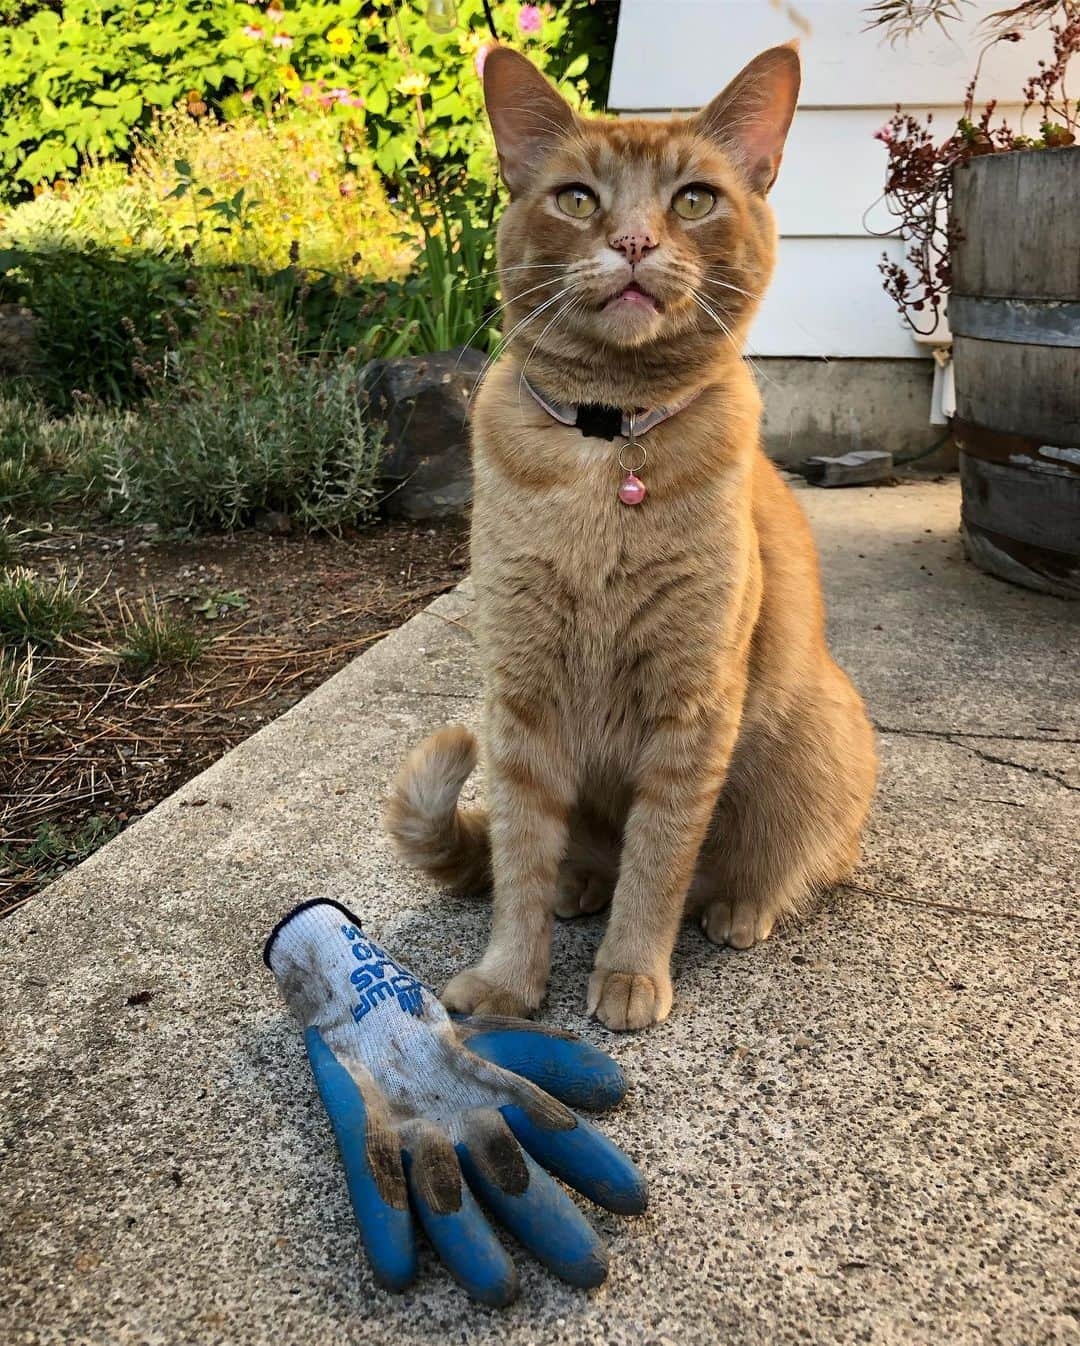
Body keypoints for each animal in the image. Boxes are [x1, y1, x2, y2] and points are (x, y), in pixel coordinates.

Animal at [387, 42, 872, 1028]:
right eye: (578, 199)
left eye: (693, 199)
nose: (637, 242)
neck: (609, 445)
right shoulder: (521, 702)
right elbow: (520, 862)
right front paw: (509, 981)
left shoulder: (692, 708)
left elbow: (659, 861)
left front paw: (631, 972)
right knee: (572, 863)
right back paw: (581, 886)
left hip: (818, 740)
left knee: (780, 863)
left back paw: (740, 905)